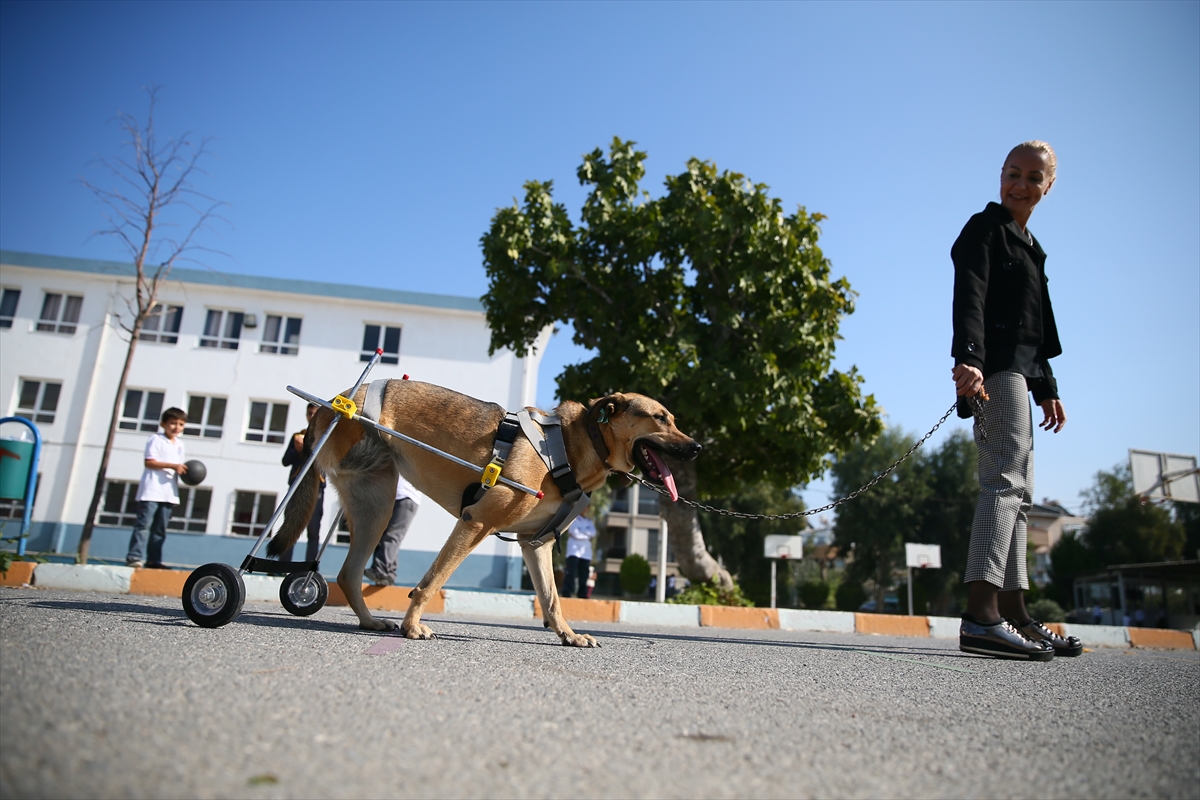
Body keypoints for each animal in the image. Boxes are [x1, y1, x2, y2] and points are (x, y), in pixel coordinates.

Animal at [267, 379, 700, 647]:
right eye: (660, 418)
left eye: (674, 420)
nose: (697, 449)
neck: (578, 444)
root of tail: (329, 404)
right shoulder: (475, 522)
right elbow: (432, 581)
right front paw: (412, 626)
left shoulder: (534, 544)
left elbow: (552, 598)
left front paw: (568, 634)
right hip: (373, 498)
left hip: (376, 506)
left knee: (347, 573)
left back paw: (370, 621)